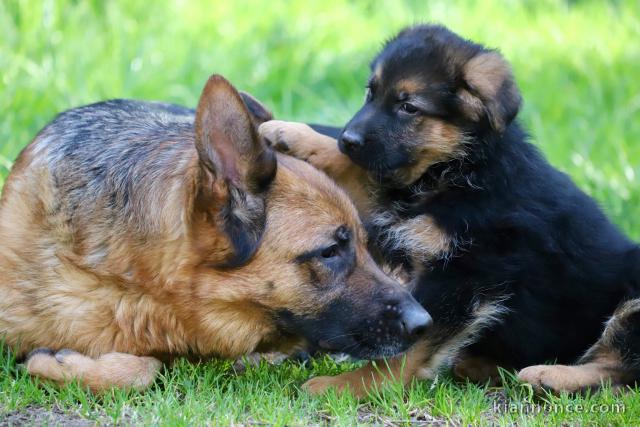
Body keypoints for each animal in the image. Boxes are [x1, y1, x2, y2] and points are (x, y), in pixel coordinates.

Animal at [260, 25, 640, 396]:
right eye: (371, 94)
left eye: (409, 107)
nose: (347, 139)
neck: (458, 169)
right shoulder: (400, 204)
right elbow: (360, 171)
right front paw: (292, 134)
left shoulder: (463, 273)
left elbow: (412, 342)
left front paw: (354, 385)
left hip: (631, 302)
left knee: (620, 371)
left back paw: (548, 375)